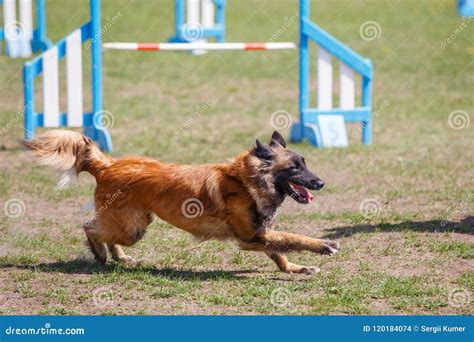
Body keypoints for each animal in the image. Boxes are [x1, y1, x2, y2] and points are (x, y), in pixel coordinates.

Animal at [25, 130, 338, 274]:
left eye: (305, 163)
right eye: (295, 168)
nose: (321, 183)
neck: (245, 182)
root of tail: (107, 165)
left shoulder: (259, 234)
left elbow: (280, 252)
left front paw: (295, 269)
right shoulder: (251, 236)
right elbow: (292, 238)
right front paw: (324, 245)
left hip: (135, 224)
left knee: (102, 232)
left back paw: (119, 258)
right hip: (132, 228)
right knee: (89, 226)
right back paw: (100, 254)